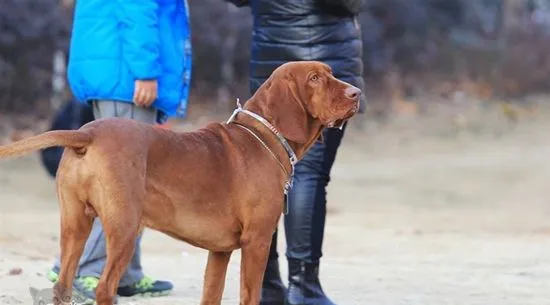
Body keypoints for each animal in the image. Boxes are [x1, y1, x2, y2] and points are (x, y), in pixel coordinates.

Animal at [0, 60, 362, 302]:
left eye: (330, 73)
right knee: (105, 288)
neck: (264, 137)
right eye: (314, 78)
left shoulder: (220, 251)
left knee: (62, 285)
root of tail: (86, 133)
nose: (357, 92)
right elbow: (250, 296)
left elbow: (211, 295)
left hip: (75, 224)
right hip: (124, 228)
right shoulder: (256, 242)